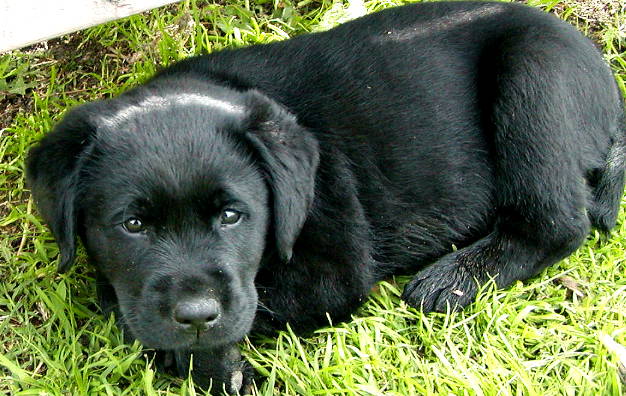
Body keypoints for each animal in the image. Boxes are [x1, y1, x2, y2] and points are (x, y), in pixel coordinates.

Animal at [25, 1, 624, 394]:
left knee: (556, 224)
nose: (196, 315)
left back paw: (453, 280)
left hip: (532, 76)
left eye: (232, 216)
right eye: (133, 226)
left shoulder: (332, 271)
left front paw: (213, 364)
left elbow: (242, 307)